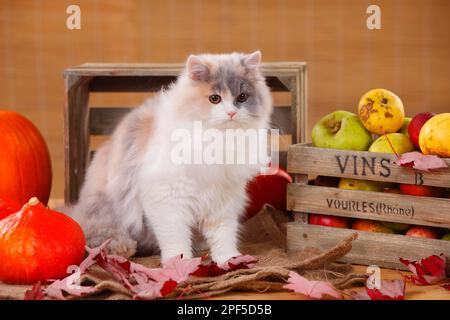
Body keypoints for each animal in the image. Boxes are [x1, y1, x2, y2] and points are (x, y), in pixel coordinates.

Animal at [72, 50, 272, 264]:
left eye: (242, 97)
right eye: (215, 99)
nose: (232, 113)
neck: (218, 140)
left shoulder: (223, 202)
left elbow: (224, 236)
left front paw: (228, 260)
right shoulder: (167, 201)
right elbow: (175, 238)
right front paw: (179, 264)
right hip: (108, 213)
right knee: (100, 233)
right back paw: (121, 249)